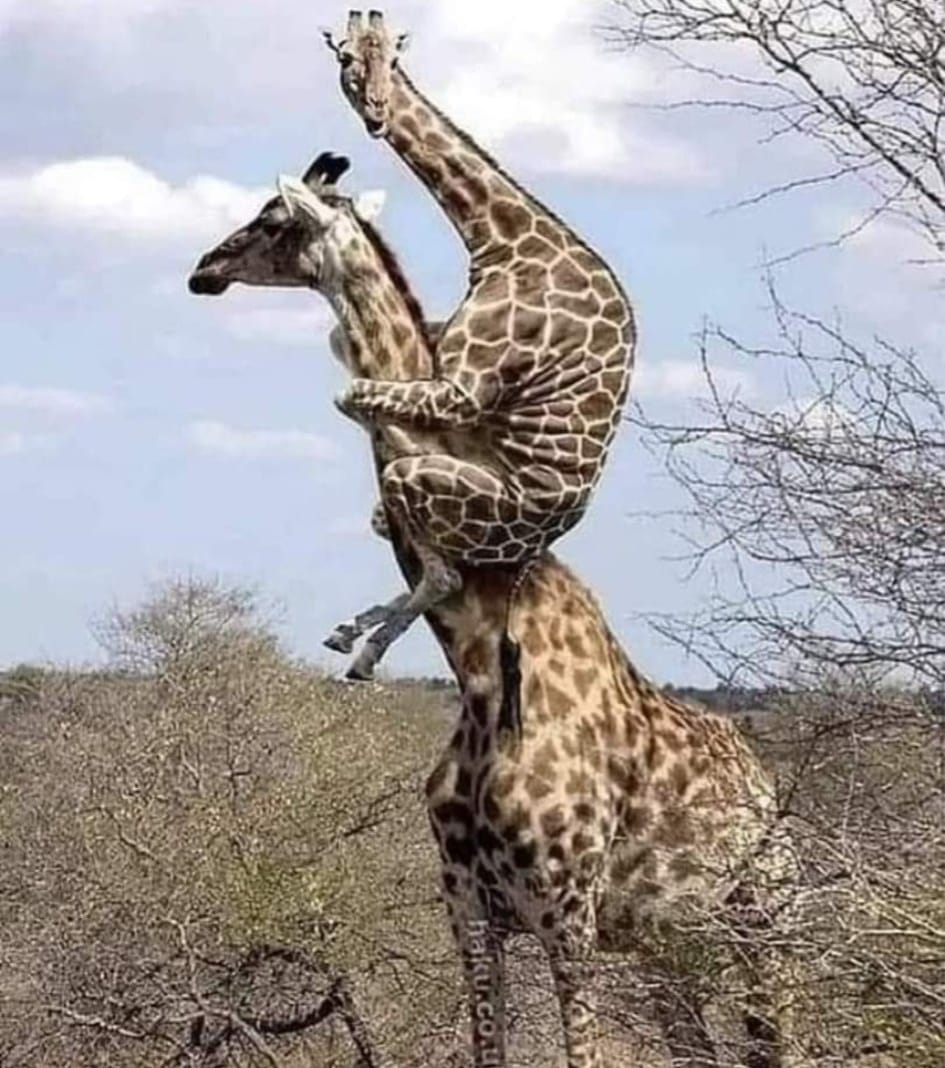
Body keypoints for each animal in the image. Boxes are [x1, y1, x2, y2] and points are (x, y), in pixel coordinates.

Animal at [190, 159, 798, 1068]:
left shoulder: (567, 915)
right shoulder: (469, 913)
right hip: (670, 950)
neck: (477, 674)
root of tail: (767, 792)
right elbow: (488, 1046)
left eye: (270, 219)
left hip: (767, 930)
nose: (204, 269)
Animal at [320, 9, 637, 678]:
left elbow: (352, 394)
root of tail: (543, 536)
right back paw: (349, 635)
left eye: (394, 60)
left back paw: (364, 649)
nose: (378, 114)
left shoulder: (460, 390)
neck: (502, 239)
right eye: (348, 60)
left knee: (446, 570)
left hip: (431, 483)